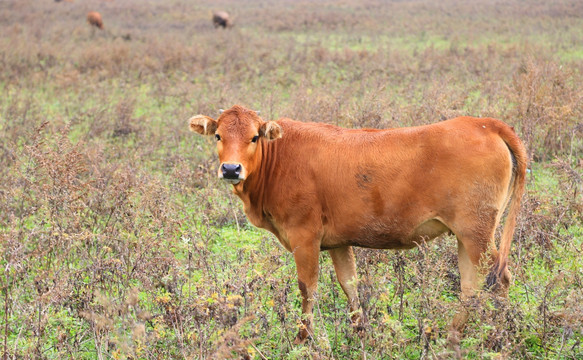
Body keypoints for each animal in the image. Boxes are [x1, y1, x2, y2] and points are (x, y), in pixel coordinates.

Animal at [188, 104, 528, 344]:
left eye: (254, 137)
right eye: (218, 136)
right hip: (466, 235)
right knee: (471, 286)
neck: (279, 157)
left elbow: (307, 287)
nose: (231, 169)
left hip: (477, 231)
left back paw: (496, 337)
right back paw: (451, 336)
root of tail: (483, 123)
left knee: (499, 280)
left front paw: (304, 338)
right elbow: (349, 283)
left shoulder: (304, 236)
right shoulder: (338, 242)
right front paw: (360, 331)